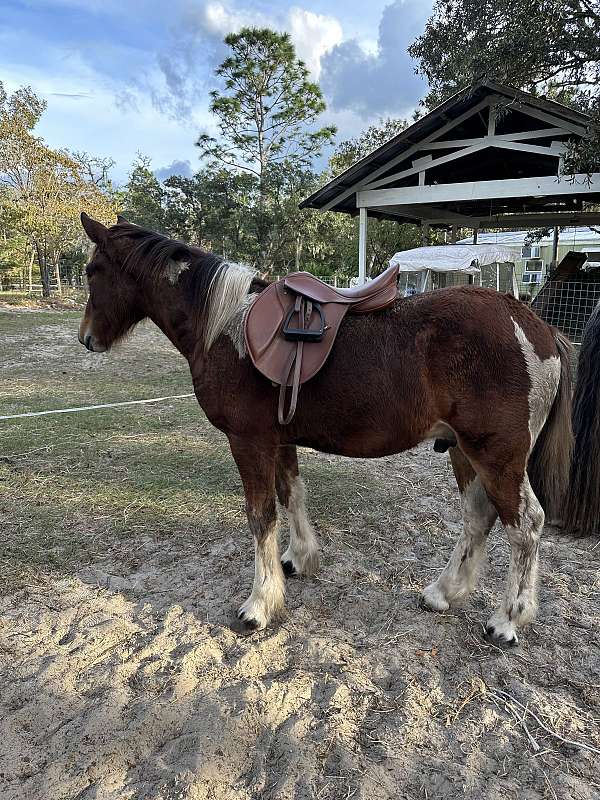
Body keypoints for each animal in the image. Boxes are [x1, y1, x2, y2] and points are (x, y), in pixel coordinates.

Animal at [79, 216, 600, 648]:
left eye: (92, 271)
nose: (87, 338)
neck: (227, 327)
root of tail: (536, 326)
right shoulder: (279, 439)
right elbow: (291, 494)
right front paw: (298, 559)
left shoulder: (248, 441)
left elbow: (260, 515)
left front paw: (259, 605)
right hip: (464, 451)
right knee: (478, 515)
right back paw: (443, 593)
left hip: (497, 456)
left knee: (526, 525)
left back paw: (508, 620)